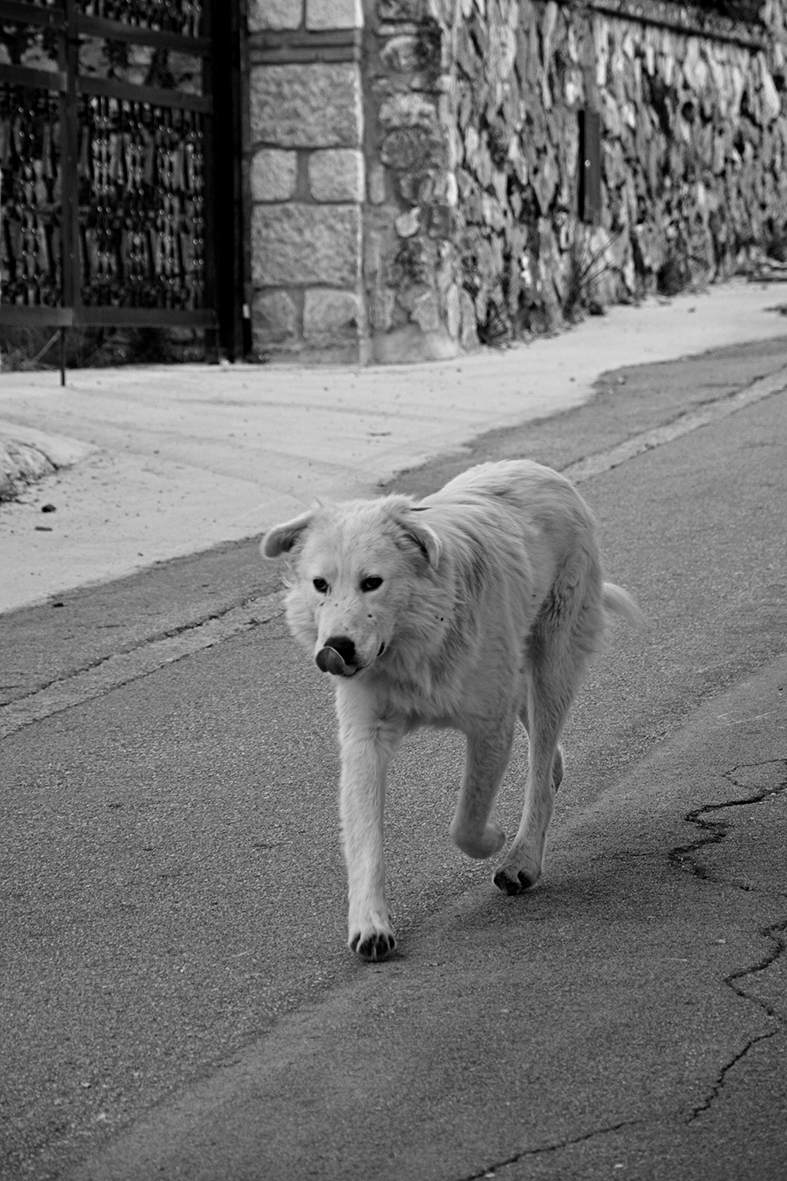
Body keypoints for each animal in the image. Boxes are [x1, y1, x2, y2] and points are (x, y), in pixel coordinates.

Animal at [262, 458, 638, 958]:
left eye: (372, 583)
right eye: (320, 585)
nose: (335, 649)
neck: (417, 643)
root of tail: (539, 469)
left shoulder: (489, 728)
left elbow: (466, 820)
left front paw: (495, 839)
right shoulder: (365, 737)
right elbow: (364, 837)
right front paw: (370, 925)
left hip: (553, 663)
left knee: (539, 769)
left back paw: (522, 859)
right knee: (544, 751)